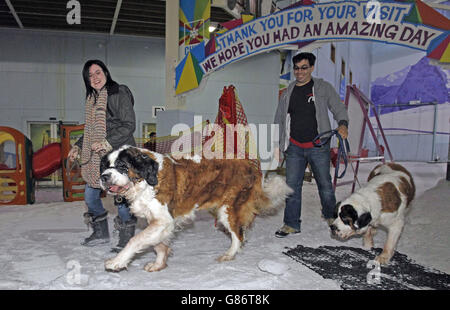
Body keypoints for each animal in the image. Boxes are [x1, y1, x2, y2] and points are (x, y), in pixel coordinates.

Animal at [99, 145, 292, 272]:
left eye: (122, 166)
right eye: (106, 166)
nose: (104, 177)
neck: (146, 180)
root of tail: (252, 165)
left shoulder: (163, 220)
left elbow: (135, 240)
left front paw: (117, 261)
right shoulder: (159, 221)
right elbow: (159, 245)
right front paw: (159, 264)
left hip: (228, 209)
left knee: (238, 235)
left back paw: (229, 254)